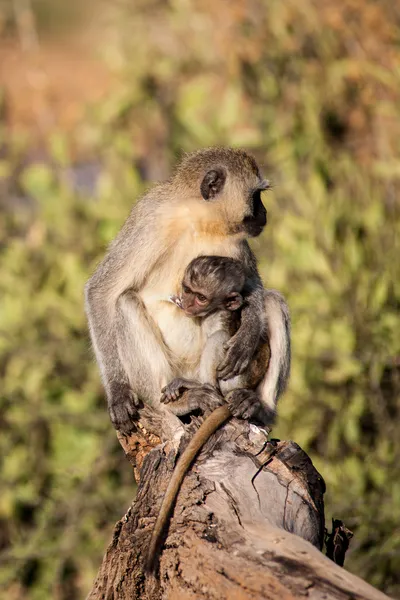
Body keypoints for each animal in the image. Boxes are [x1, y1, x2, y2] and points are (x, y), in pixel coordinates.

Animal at [85, 148, 290, 442]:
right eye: (256, 196)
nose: (264, 212)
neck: (200, 219)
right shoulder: (150, 218)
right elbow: (103, 290)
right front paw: (118, 391)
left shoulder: (236, 243)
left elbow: (253, 286)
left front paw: (247, 336)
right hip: (176, 375)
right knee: (125, 302)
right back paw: (175, 405)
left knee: (273, 301)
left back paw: (259, 406)